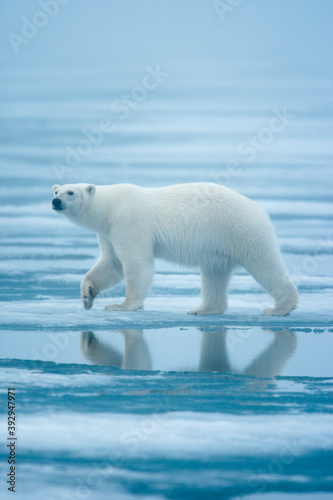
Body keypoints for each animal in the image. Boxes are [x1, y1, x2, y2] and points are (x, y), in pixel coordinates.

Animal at [51, 184, 296, 314]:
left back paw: (280, 308)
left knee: (264, 264)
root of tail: (258, 208)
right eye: (56, 191)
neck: (110, 207)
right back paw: (202, 309)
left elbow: (135, 263)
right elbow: (111, 264)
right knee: (214, 274)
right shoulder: (107, 233)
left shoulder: (129, 222)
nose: (56, 202)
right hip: (218, 246)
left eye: (70, 192)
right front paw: (87, 295)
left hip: (240, 230)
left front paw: (121, 305)